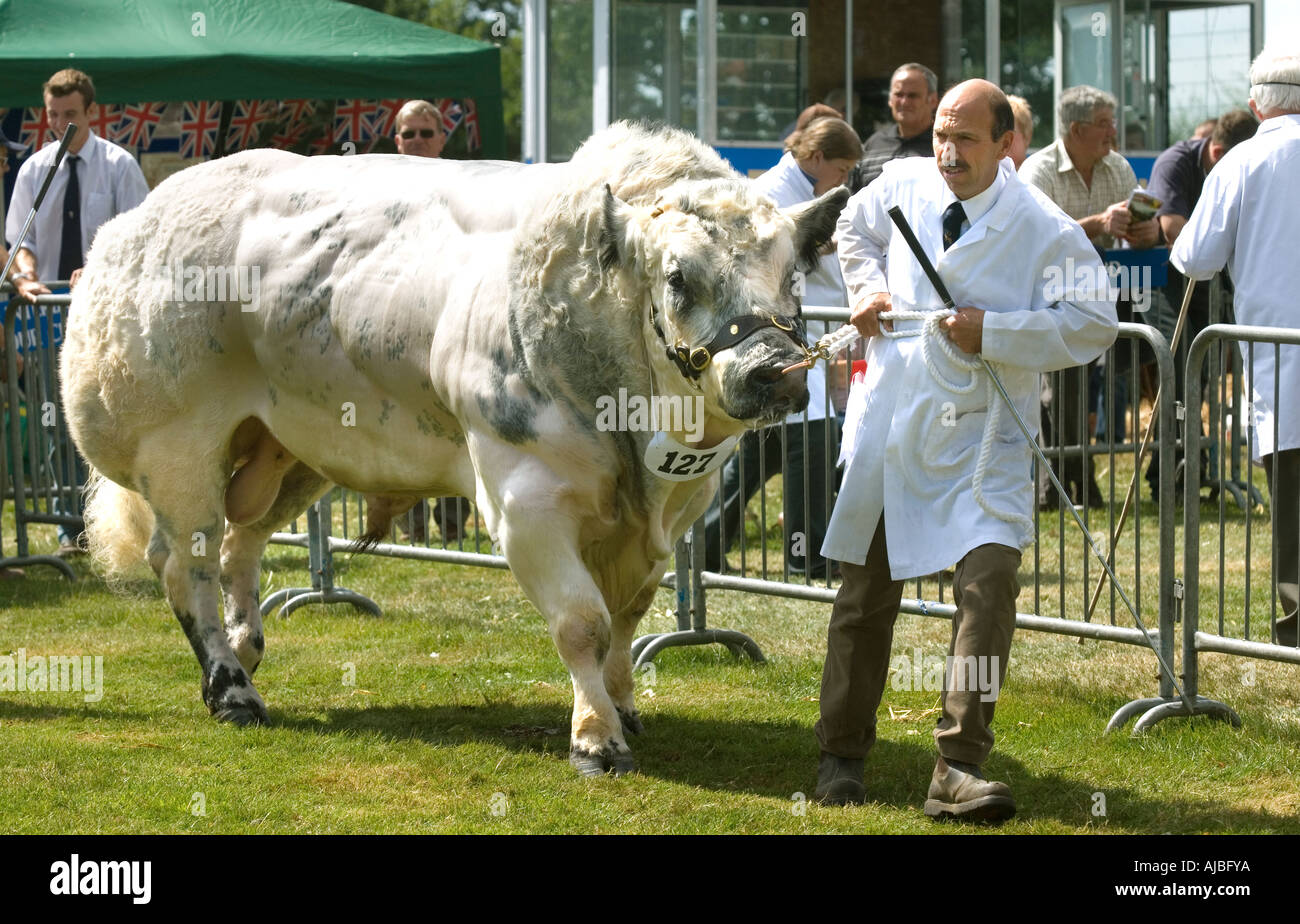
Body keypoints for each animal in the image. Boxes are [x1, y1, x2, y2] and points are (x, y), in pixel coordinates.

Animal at [65, 119, 847, 774]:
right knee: (186, 561)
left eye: (793, 276)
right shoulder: (523, 498)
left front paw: (621, 708)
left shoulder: (680, 505)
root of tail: (133, 224)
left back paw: (245, 651)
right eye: (680, 278)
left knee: (238, 545)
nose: (775, 370)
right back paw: (230, 690)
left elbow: (626, 618)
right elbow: (583, 622)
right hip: (176, 442)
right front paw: (594, 739)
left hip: (292, 447)